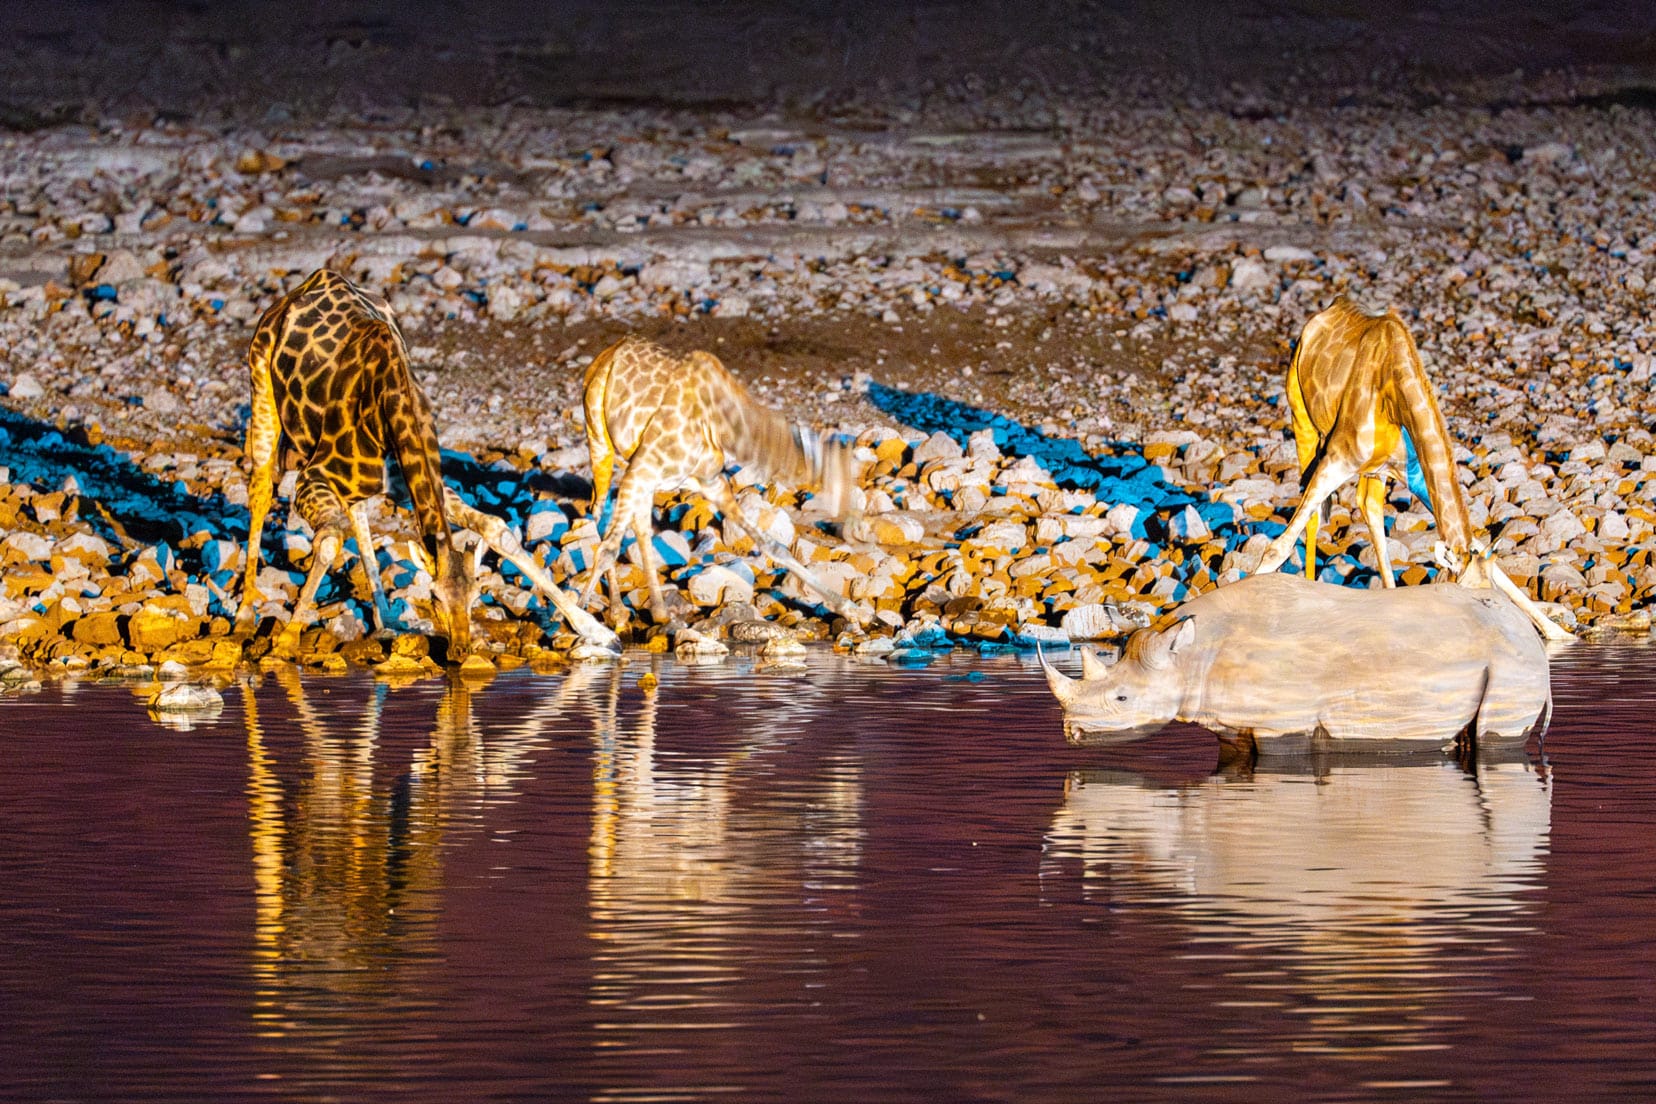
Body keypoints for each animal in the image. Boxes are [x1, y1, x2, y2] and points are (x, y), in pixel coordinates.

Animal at [236, 271, 619, 662]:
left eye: (477, 593)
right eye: (433, 597)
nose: (461, 650)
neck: (388, 399)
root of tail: (303, 287)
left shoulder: (406, 479)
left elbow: (496, 528)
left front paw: (597, 631)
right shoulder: (313, 477)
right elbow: (328, 542)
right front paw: (285, 640)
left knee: (357, 513)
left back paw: (385, 619)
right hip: (261, 388)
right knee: (261, 488)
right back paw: (244, 613)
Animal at [582, 334, 867, 628]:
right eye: (842, 479)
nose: (856, 530)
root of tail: (605, 356)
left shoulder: (710, 481)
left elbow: (773, 546)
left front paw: (854, 610)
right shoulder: (643, 467)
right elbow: (607, 549)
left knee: (637, 524)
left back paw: (659, 612)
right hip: (600, 438)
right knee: (597, 510)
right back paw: (617, 611)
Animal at [1245, 297, 1569, 642]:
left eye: (1491, 596)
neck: (1395, 389)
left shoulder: (1415, 475)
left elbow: (1483, 551)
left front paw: (1559, 632)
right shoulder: (1337, 459)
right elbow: (1276, 549)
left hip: (1373, 471)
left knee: (1368, 507)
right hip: (1303, 422)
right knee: (1314, 514)